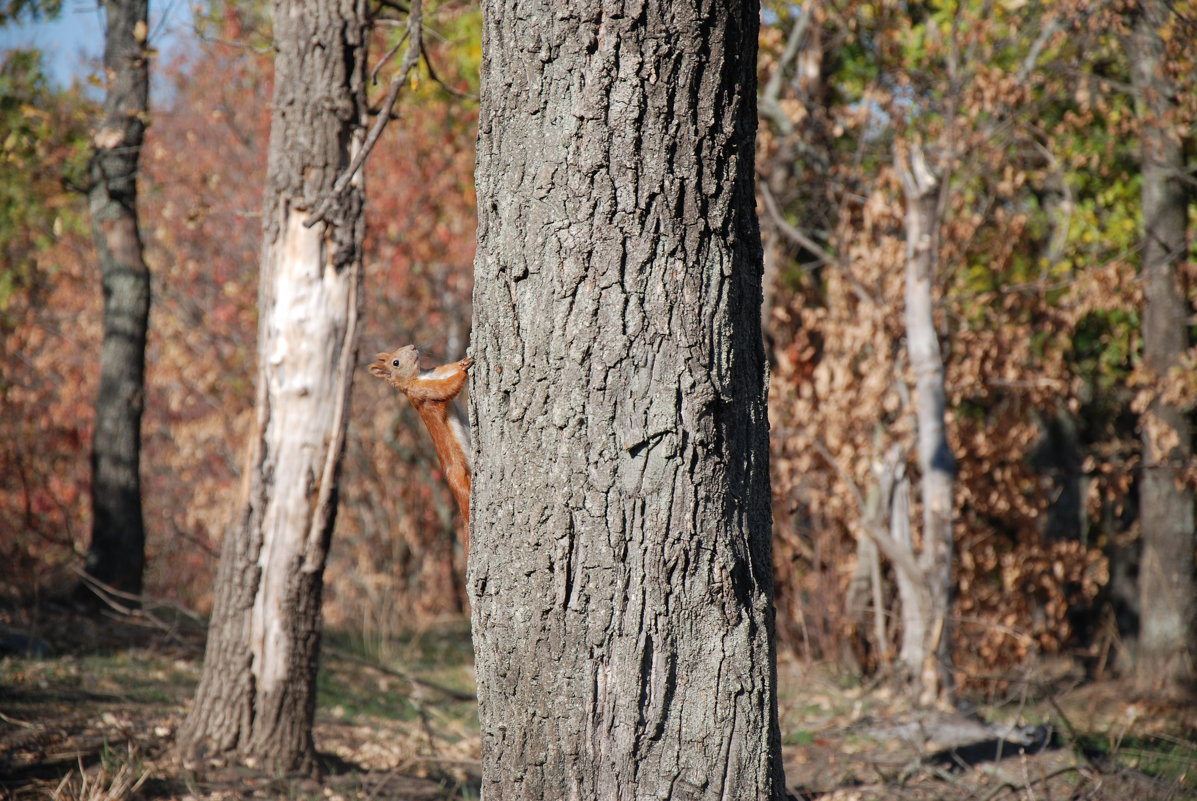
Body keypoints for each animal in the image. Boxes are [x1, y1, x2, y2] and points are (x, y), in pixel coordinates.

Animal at [366, 344, 474, 543]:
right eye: (396, 362)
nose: (413, 346)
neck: (420, 375)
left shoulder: (435, 372)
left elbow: (448, 370)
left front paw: (462, 362)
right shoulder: (424, 393)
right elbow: (446, 389)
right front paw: (464, 370)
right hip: (459, 476)